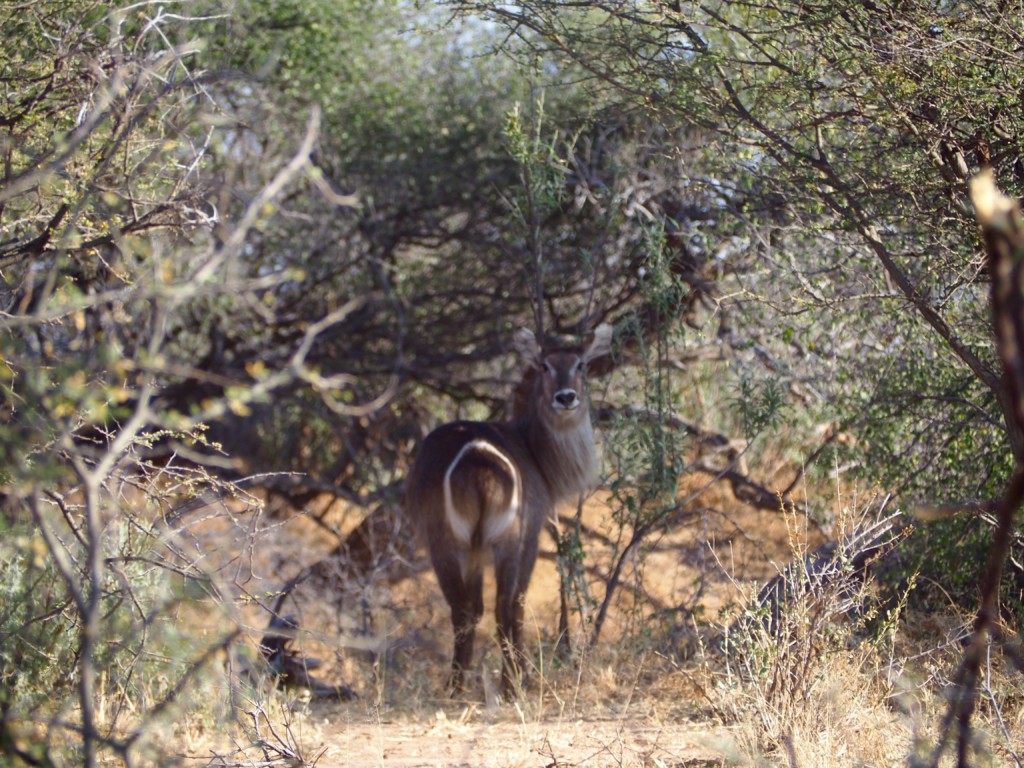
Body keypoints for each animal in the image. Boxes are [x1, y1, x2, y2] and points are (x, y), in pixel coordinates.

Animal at [403, 325, 610, 696]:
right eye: (544, 365)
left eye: (581, 363)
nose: (566, 397)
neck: (533, 449)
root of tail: (475, 458)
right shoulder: (532, 533)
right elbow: (518, 603)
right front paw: (522, 675)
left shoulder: (473, 554)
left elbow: (475, 607)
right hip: (506, 539)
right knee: (504, 605)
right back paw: (512, 684)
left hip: (444, 543)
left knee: (463, 609)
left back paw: (456, 687)